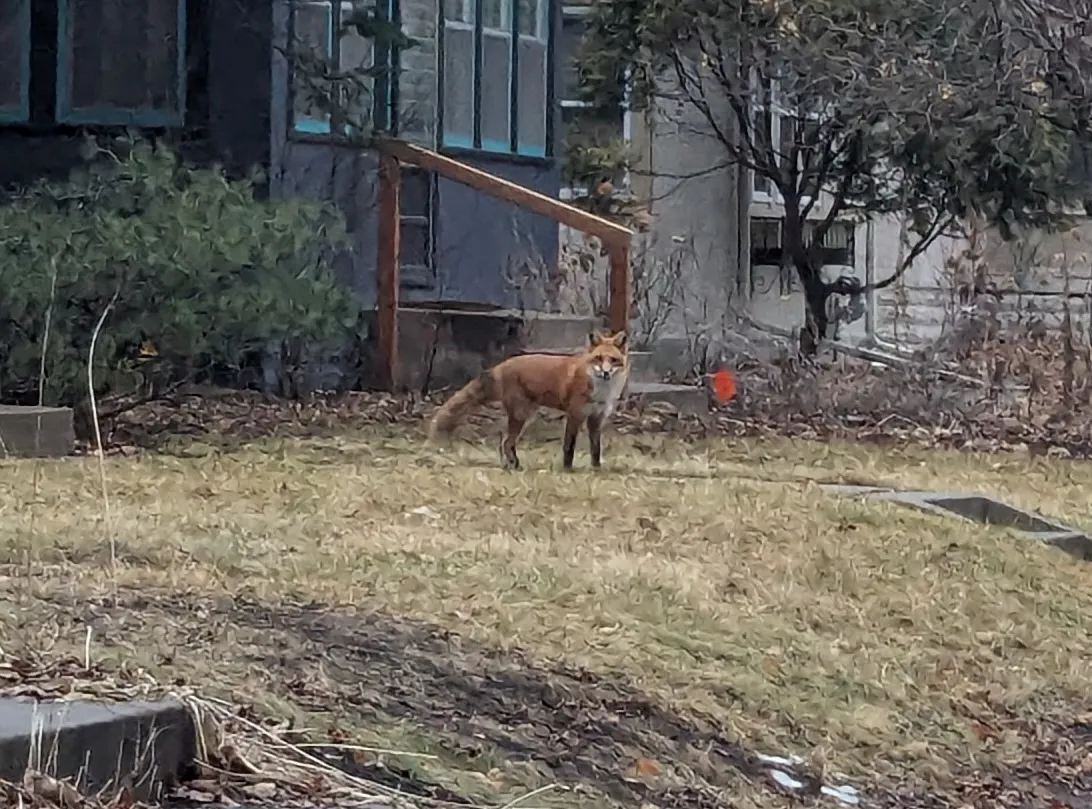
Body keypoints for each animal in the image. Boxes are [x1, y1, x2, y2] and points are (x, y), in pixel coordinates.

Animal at [427, 330, 630, 471]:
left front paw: (596, 469)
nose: (605, 373)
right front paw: (567, 469)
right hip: (522, 415)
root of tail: (501, 365)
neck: (601, 389)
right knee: (507, 443)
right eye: (598, 358)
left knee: (506, 443)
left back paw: (512, 465)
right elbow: (569, 446)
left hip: (526, 416)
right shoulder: (575, 415)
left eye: (613, 360)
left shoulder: (596, 418)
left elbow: (596, 449)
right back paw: (516, 466)